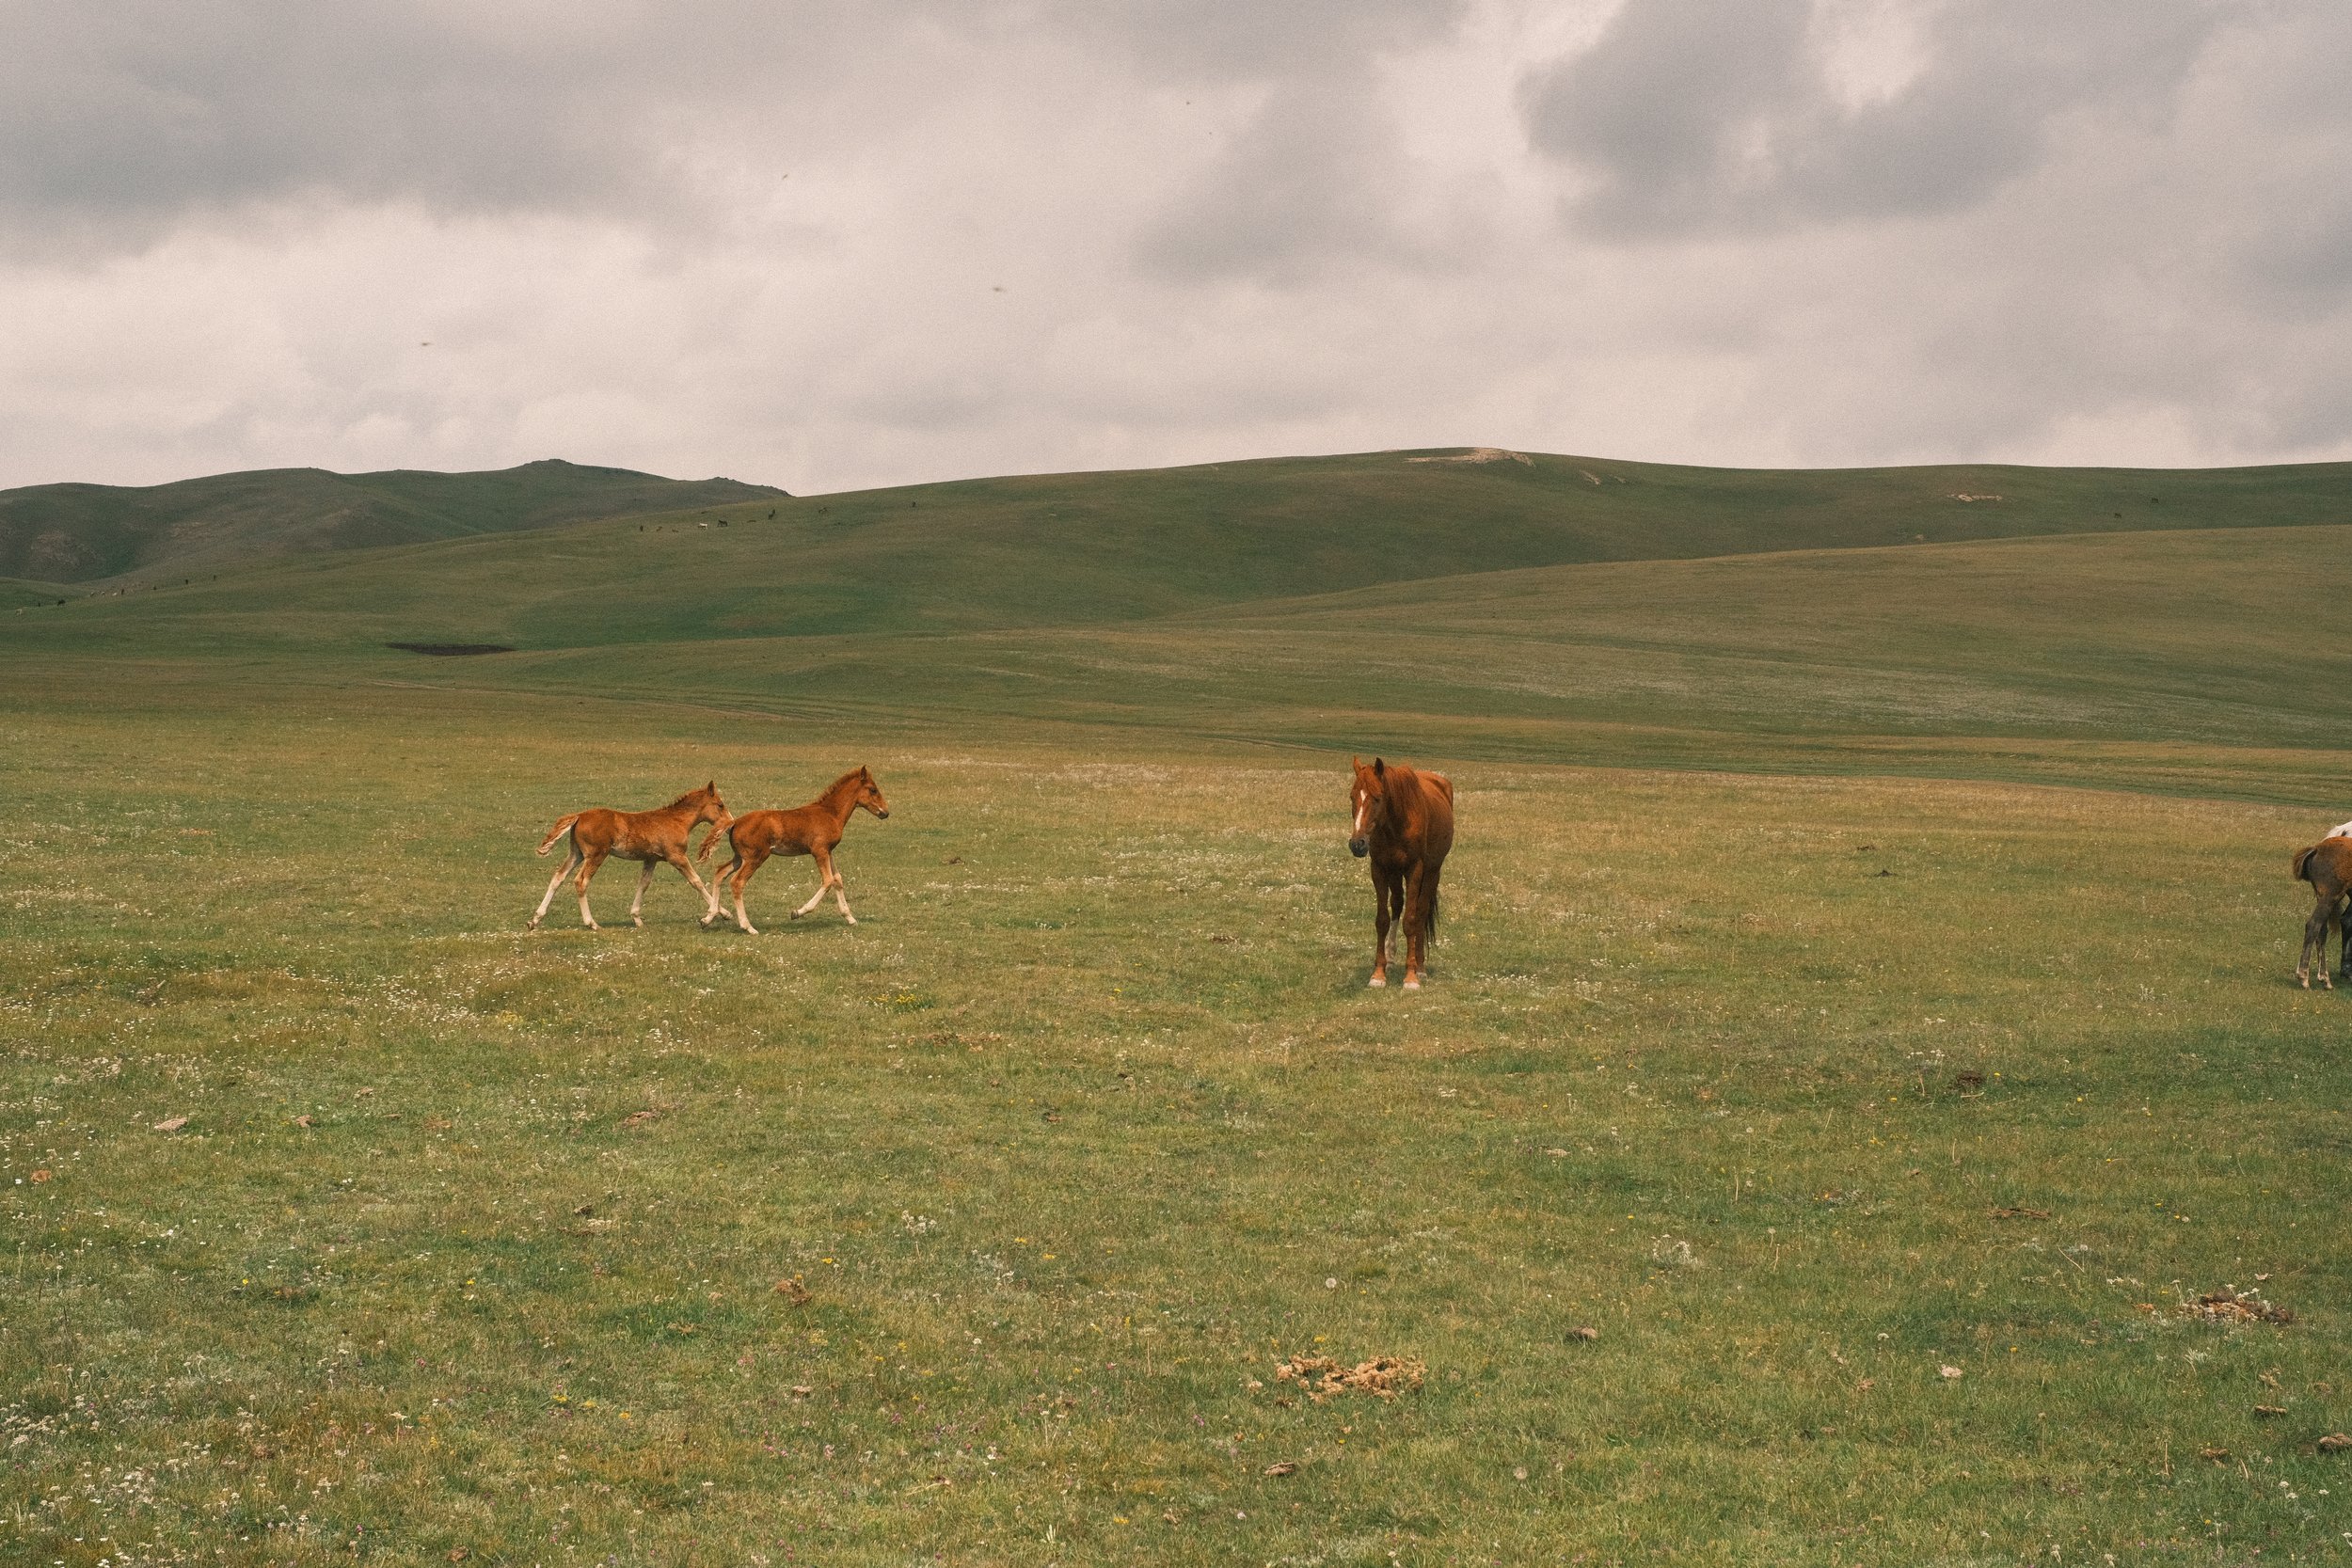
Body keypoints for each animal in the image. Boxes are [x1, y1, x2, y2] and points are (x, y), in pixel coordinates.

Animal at [528, 781, 728, 931]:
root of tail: (579, 816)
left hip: (576, 854)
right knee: (581, 881)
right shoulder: (676, 857)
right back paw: (592, 923)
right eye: (720, 805)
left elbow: (643, 884)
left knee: (558, 877)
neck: (676, 820)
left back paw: (535, 920)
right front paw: (721, 913)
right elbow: (696, 881)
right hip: (596, 855)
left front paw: (636, 918)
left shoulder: (651, 859)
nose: (729, 822)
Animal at [696, 767, 891, 933]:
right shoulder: (819, 851)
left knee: (720, 873)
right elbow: (828, 881)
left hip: (739, 857)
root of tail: (734, 822)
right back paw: (748, 927)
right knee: (737, 882)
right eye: (873, 790)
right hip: (755, 857)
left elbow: (838, 879)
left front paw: (850, 918)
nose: (886, 812)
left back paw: (707, 919)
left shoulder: (829, 851)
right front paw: (798, 912)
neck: (830, 813)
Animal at [1347, 755, 1454, 989]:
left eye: (1377, 798)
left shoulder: (1415, 868)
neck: (1396, 823)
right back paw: (1390, 958)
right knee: (1397, 904)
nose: (1357, 844)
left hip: (1432, 872)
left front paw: (1411, 976)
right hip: (1395, 873)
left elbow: (1412, 920)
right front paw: (1378, 973)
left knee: (1421, 911)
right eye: (1352, 797)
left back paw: (1420, 967)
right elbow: (1382, 920)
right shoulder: (1379, 868)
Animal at [2292, 835, 2352, 987]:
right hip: (2329, 897)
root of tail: (2317, 849)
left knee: (2322, 931)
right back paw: (2304, 976)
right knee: (2313, 926)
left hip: (2325, 899)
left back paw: (2325, 978)